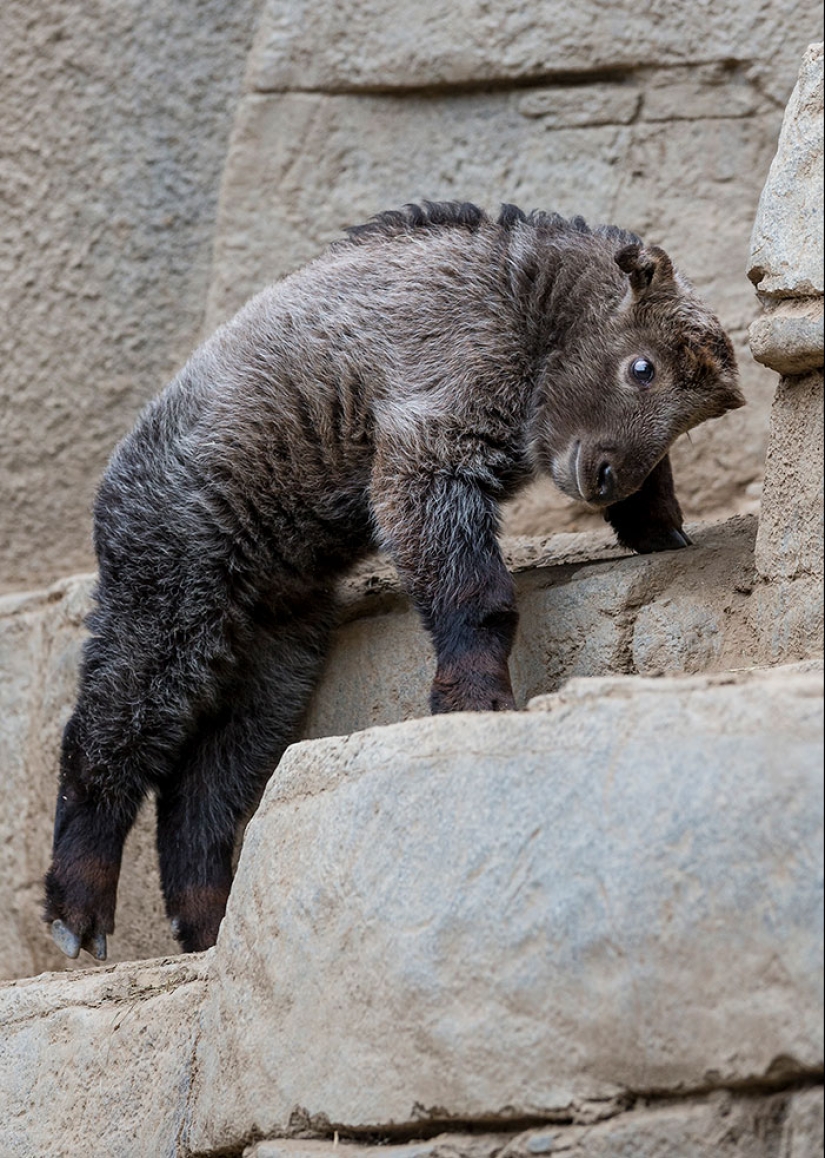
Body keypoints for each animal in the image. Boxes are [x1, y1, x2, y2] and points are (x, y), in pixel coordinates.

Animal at [43, 201, 741, 958]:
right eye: (641, 368)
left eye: (686, 420)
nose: (607, 476)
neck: (529, 306)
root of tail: (111, 489)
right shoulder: (431, 441)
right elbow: (478, 596)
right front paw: (474, 697)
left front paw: (660, 525)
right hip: (173, 591)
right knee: (107, 733)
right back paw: (78, 908)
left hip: (275, 654)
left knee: (204, 789)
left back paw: (210, 924)